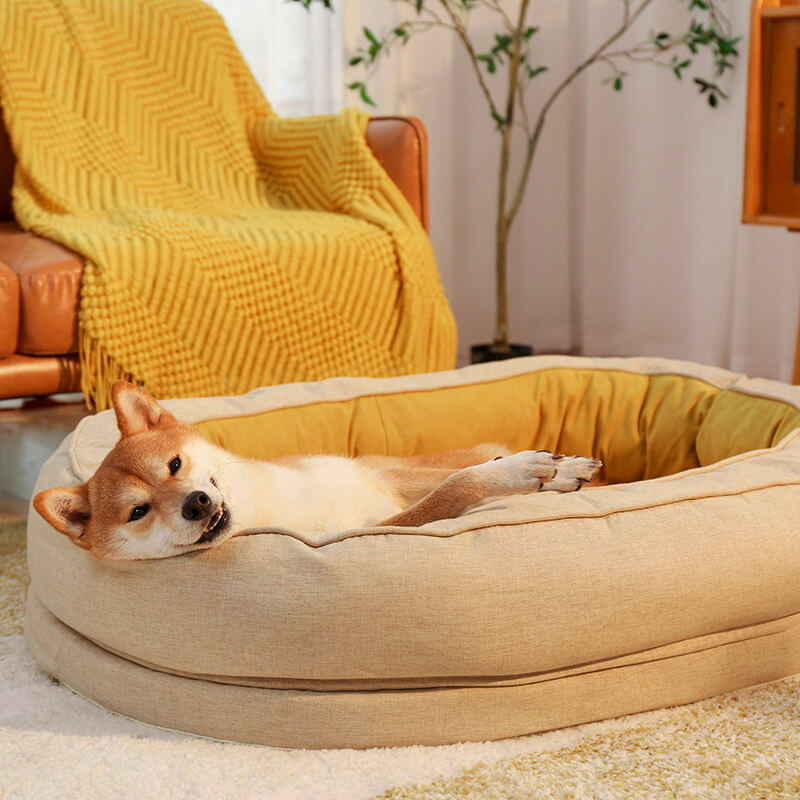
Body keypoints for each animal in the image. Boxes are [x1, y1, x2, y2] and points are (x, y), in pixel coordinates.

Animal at [34, 382, 604, 564]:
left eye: (174, 465)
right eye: (139, 512)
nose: (196, 503)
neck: (270, 506)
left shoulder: (382, 475)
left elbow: (457, 475)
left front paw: (555, 471)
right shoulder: (379, 526)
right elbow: (454, 488)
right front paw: (525, 472)